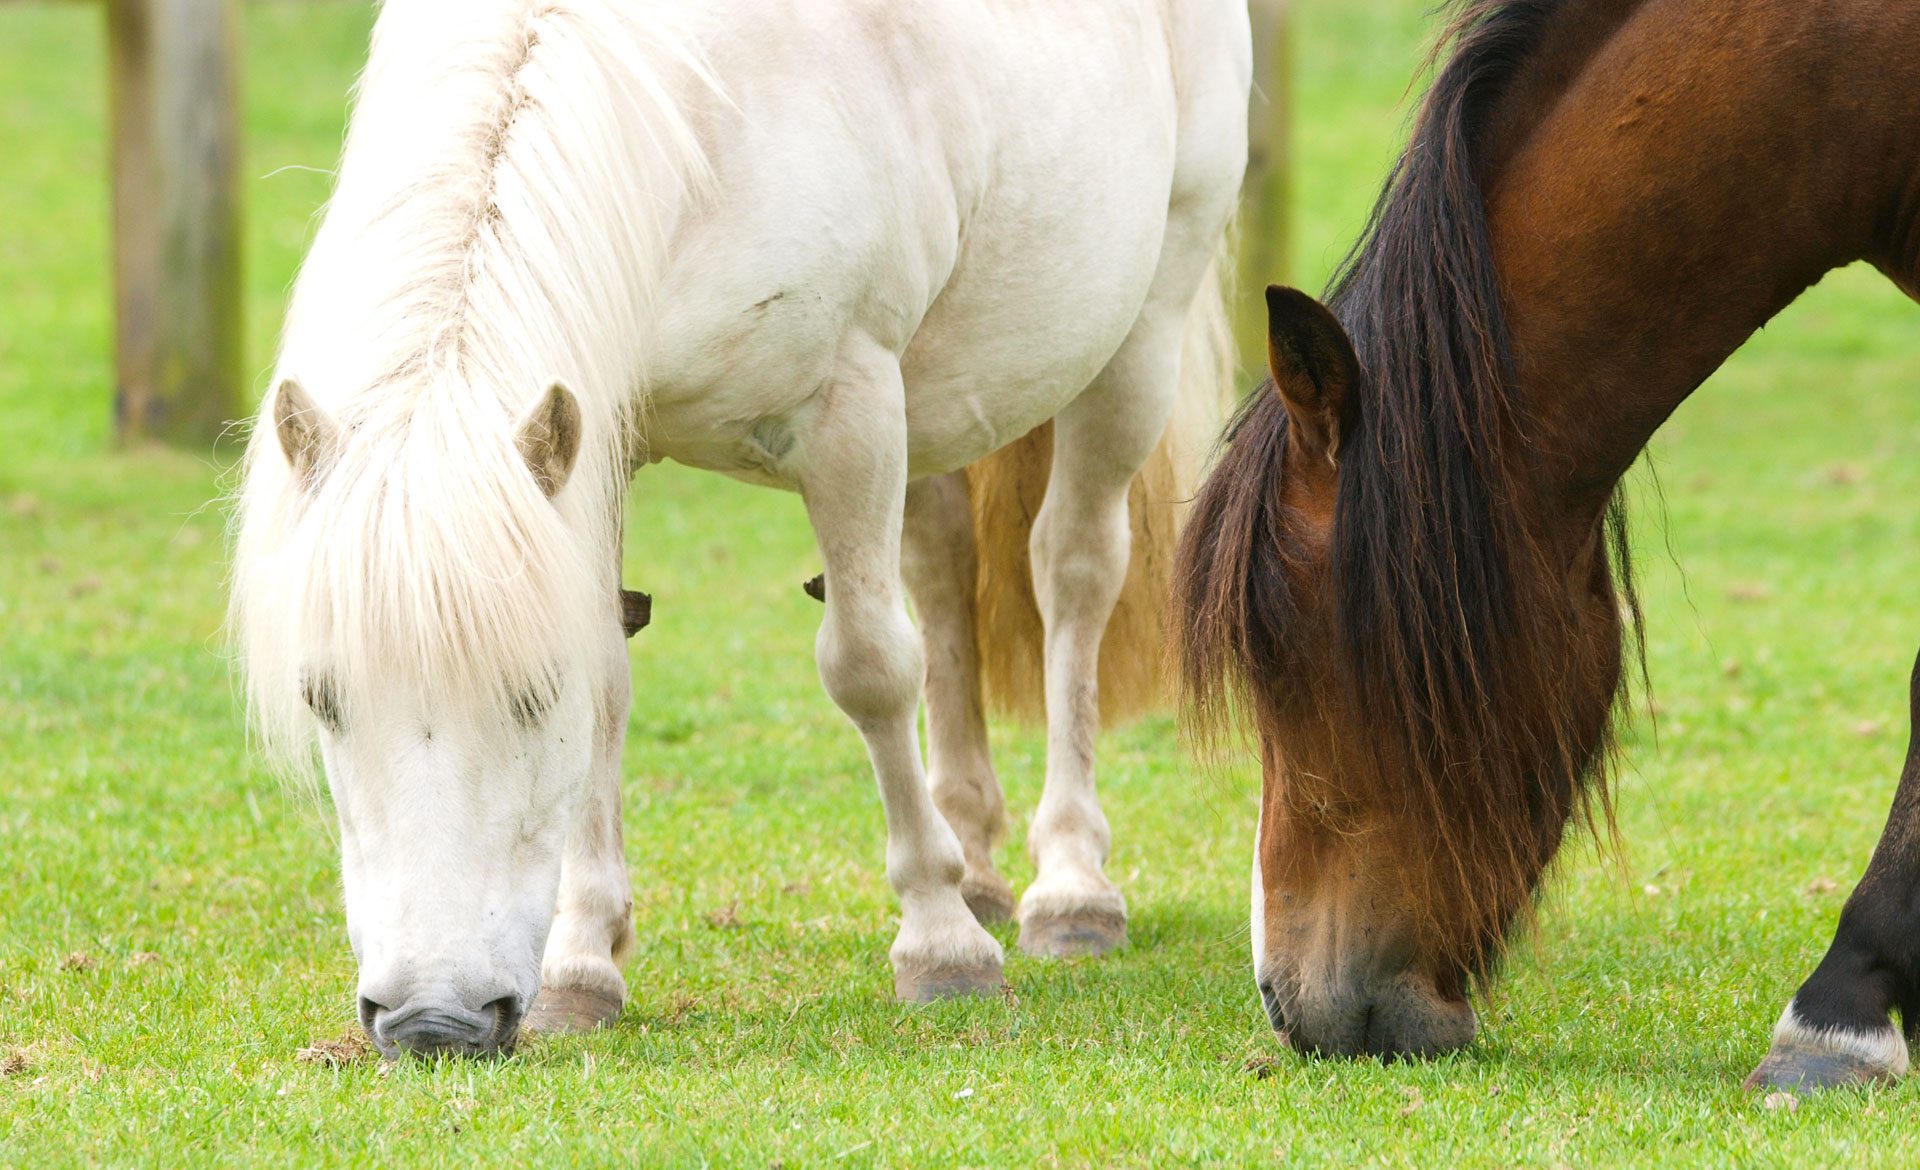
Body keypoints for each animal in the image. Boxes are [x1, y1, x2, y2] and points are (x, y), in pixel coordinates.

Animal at [230, 0, 1248, 1058]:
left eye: (533, 695)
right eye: (322, 699)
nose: (432, 1021)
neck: (685, 134)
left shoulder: (850, 412)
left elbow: (871, 669)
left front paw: (939, 945)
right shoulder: (602, 437)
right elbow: (617, 676)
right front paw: (583, 962)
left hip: (1142, 329)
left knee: (1074, 573)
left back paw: (1071, 887)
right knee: (940, 571)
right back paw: (975, 863)